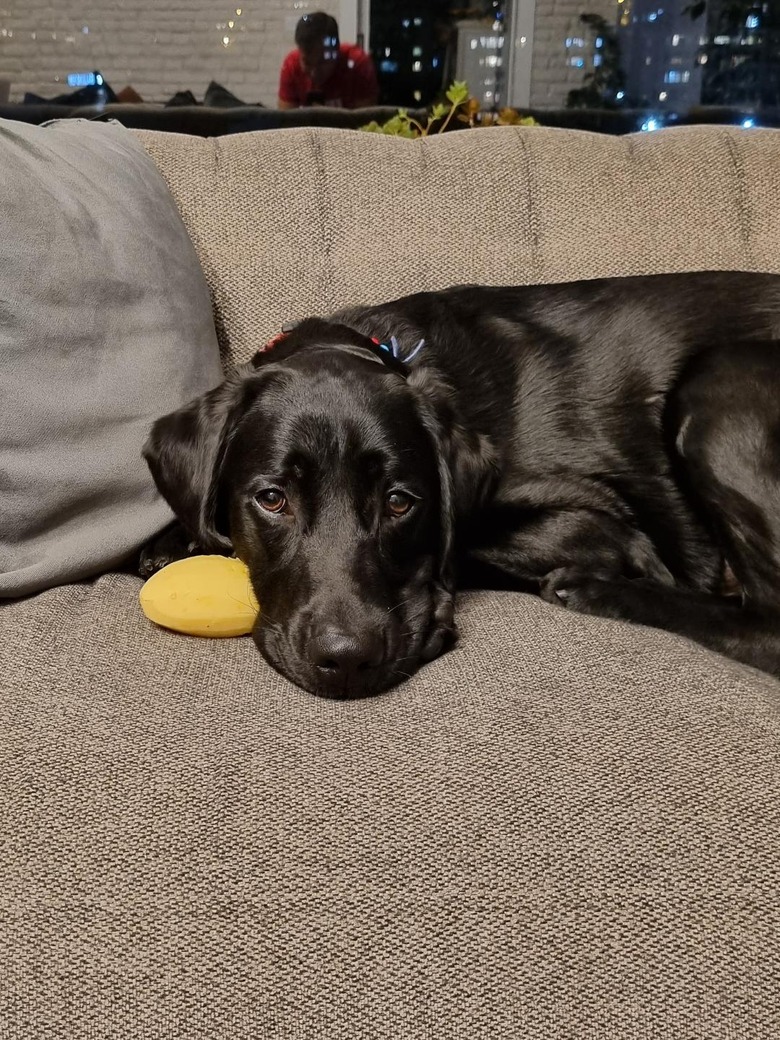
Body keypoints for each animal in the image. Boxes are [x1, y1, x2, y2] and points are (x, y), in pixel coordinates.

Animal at [143, 272, 780, 698]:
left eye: (400, 503)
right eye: (272, 499)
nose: (347, 662)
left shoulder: (598, 521)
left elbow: (466, 547)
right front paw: (170, 542)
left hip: (721, 379)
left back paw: (595, 590)